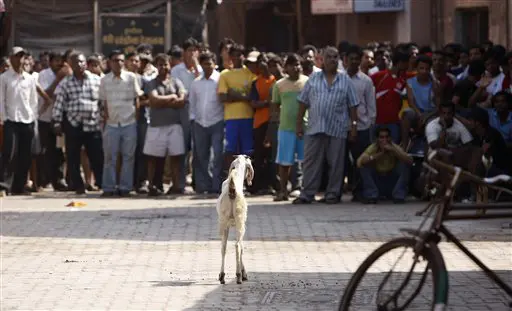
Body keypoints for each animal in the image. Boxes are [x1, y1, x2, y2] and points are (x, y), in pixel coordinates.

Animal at [216, 156, 254, 286]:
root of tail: (232, 190)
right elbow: (241, 248)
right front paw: (244, 273)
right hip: (240, 221)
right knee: (238, 246)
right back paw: (238, 276)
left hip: (223, 222)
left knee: (223, 246)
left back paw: (222, 276)